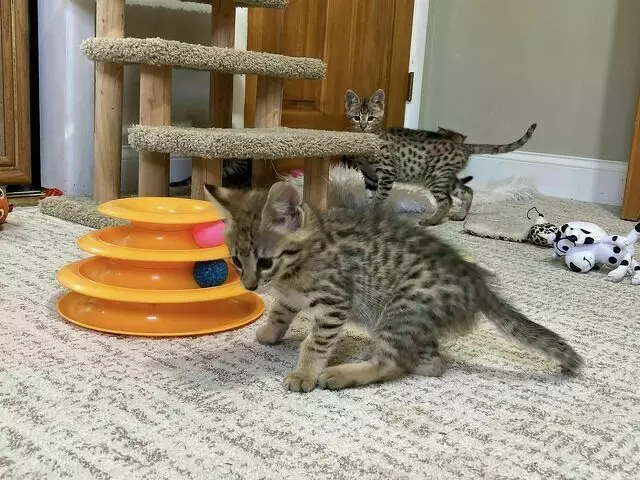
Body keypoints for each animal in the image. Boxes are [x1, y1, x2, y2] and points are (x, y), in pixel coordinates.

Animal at [204, 181, 583, 392]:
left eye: (265, 262)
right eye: (236, 261)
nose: (251, 285)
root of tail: (475, 280)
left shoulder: (335, 301)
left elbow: (315, 343)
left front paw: (304, 373)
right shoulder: (291, 296)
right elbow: (282, 310)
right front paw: (271, 332)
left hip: (402, 309)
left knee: (402, 363)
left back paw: (341, 374)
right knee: (430, 360)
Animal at [344, 89, 537, 226]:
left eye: (371, 118)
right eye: (356, 118)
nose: (362, 126)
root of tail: (462, 145)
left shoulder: (387, 173)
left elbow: (379, 198)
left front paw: (373, 214)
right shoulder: (370, 176)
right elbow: (370, 197)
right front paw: (367, 212)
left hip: (435, 176)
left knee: (447, 201)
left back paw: (432, 221)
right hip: (446, 177)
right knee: (467, 191)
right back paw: (460, 216)